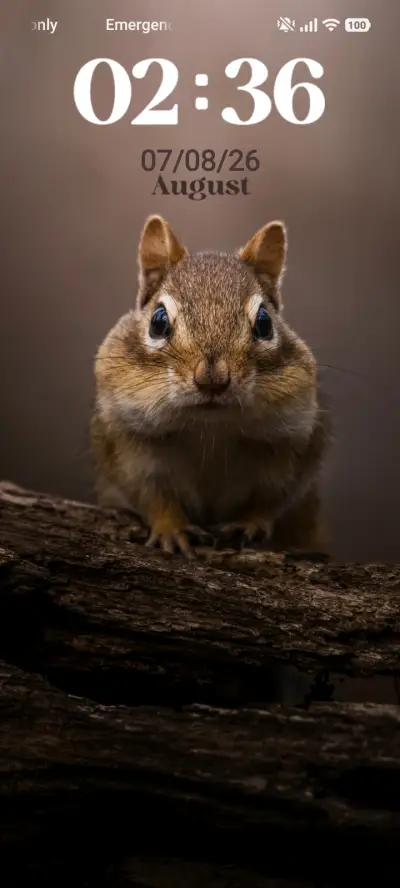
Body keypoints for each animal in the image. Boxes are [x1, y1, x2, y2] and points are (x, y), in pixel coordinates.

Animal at [91, 214, 329, 557]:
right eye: (158, 322)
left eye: (265, 323)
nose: (213, 380)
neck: (208, 429)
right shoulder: (124, 443)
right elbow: (150, 496)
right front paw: (171, 529)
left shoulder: (298, 440)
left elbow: (274, 499)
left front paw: (250, 522)